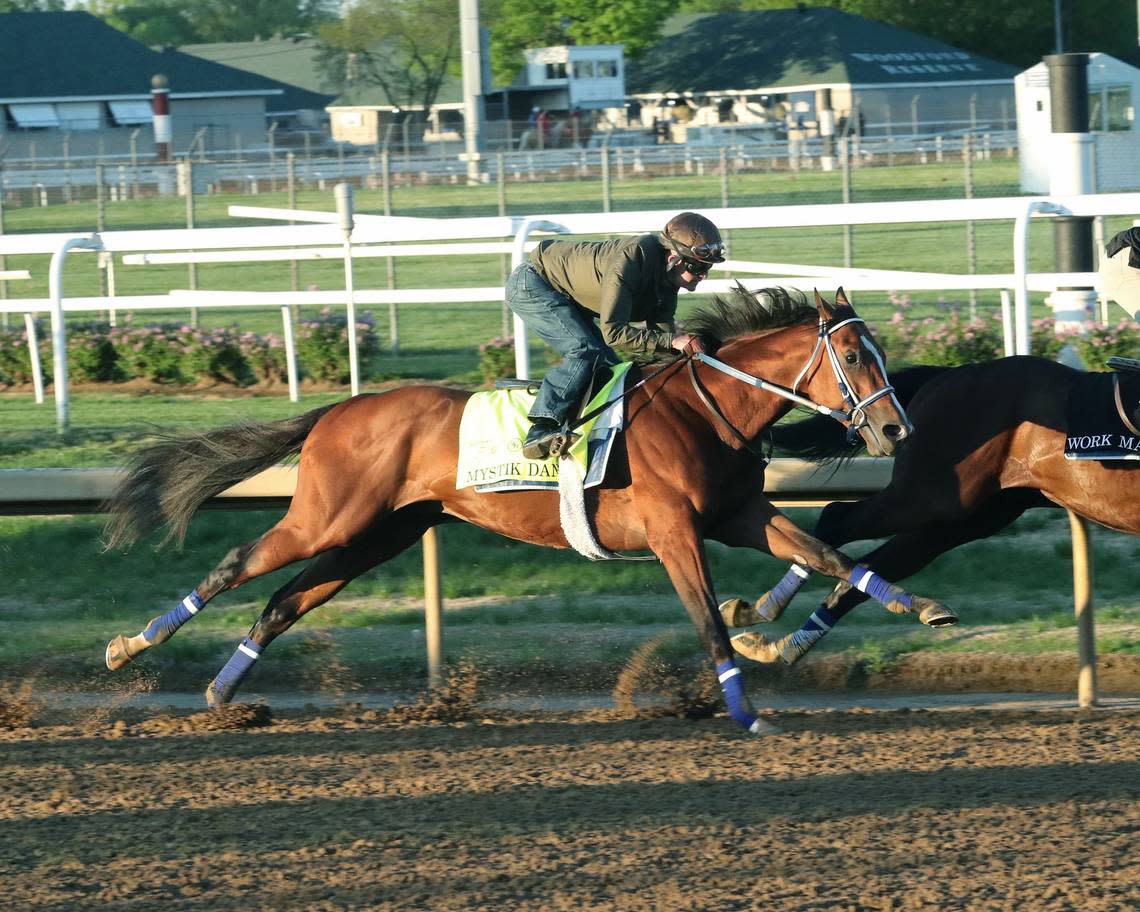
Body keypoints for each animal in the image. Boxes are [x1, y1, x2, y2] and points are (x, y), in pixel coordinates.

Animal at [102, 287, 939, 734]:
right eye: (856, 357)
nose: (898, 430)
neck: (706, 407)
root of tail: (338, 409)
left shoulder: (737, 514)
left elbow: (829, 554)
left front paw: (918, 603)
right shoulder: (673, 530)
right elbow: (707, 621)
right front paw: (746, 711)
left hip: (383, 533)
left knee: (285, 599)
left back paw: (224, 693)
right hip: (328, 518)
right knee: (237, 565)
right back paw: (132, 646)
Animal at [725, 353, 1140, 661]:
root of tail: (948, 375)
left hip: (973, 513)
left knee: (870, 566)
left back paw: (782, 646)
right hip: (930, 496)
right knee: (835, 519)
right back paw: (760, 616)